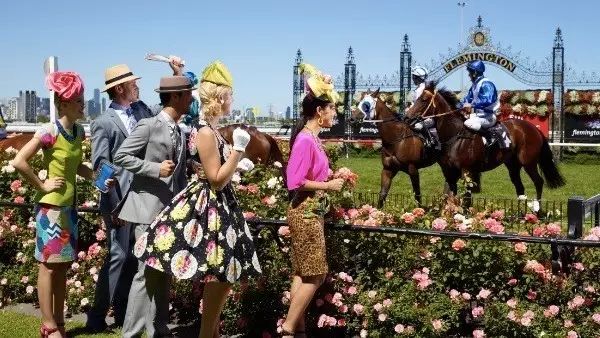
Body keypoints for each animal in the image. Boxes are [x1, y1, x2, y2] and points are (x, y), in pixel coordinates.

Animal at [406, 82, 564, 209]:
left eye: (423, 99)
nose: (407, 117)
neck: (454, 136)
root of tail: (534, 129)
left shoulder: (467, 171)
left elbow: (466, 198)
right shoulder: (449, 172)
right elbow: (448, 196)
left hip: (528, 162)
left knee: (538, 182)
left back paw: (537, 210)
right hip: (513, 165)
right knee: (520, 187)